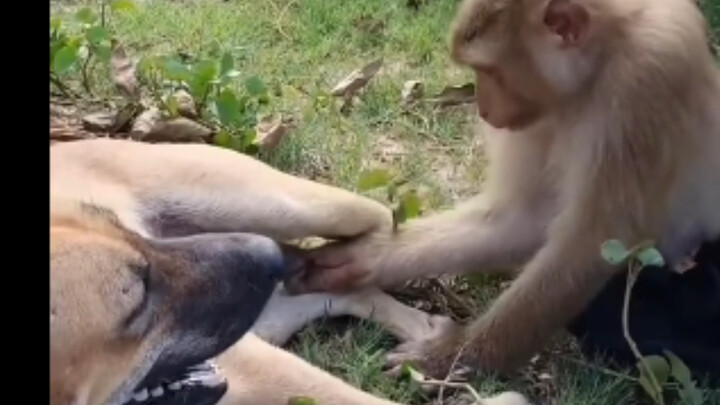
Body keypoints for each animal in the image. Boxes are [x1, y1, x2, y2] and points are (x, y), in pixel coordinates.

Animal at [286, 0, 720, 378]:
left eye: (490, 71)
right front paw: (369, 255)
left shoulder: (645, 83)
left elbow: (594, 243)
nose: (482, 109)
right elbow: (522, 219)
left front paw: (454, 356)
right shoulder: (537, 116)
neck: (598, 67)